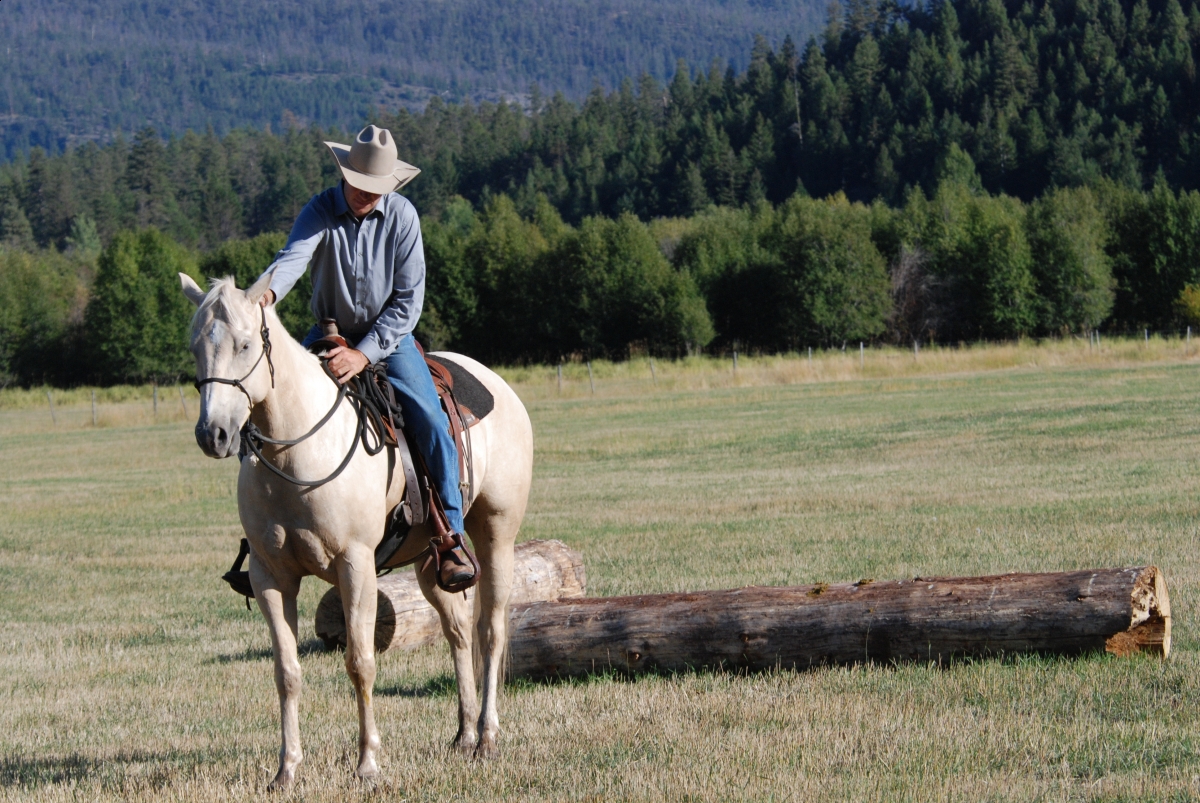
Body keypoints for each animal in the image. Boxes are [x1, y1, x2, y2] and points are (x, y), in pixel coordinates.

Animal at [179, 271, 533, 789]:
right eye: (196, 347)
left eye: (245, 344)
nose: (214, 434)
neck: (298, 452)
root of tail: (498, 385)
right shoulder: (270, 576)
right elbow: (286, 671)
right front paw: (286, 769)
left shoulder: (355, 565)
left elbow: (361, 662)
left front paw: (368, 763)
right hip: (431, 560)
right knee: (458, 631)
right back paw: (465, 734)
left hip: (496, 533)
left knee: (490, 630)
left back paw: (487, 736)